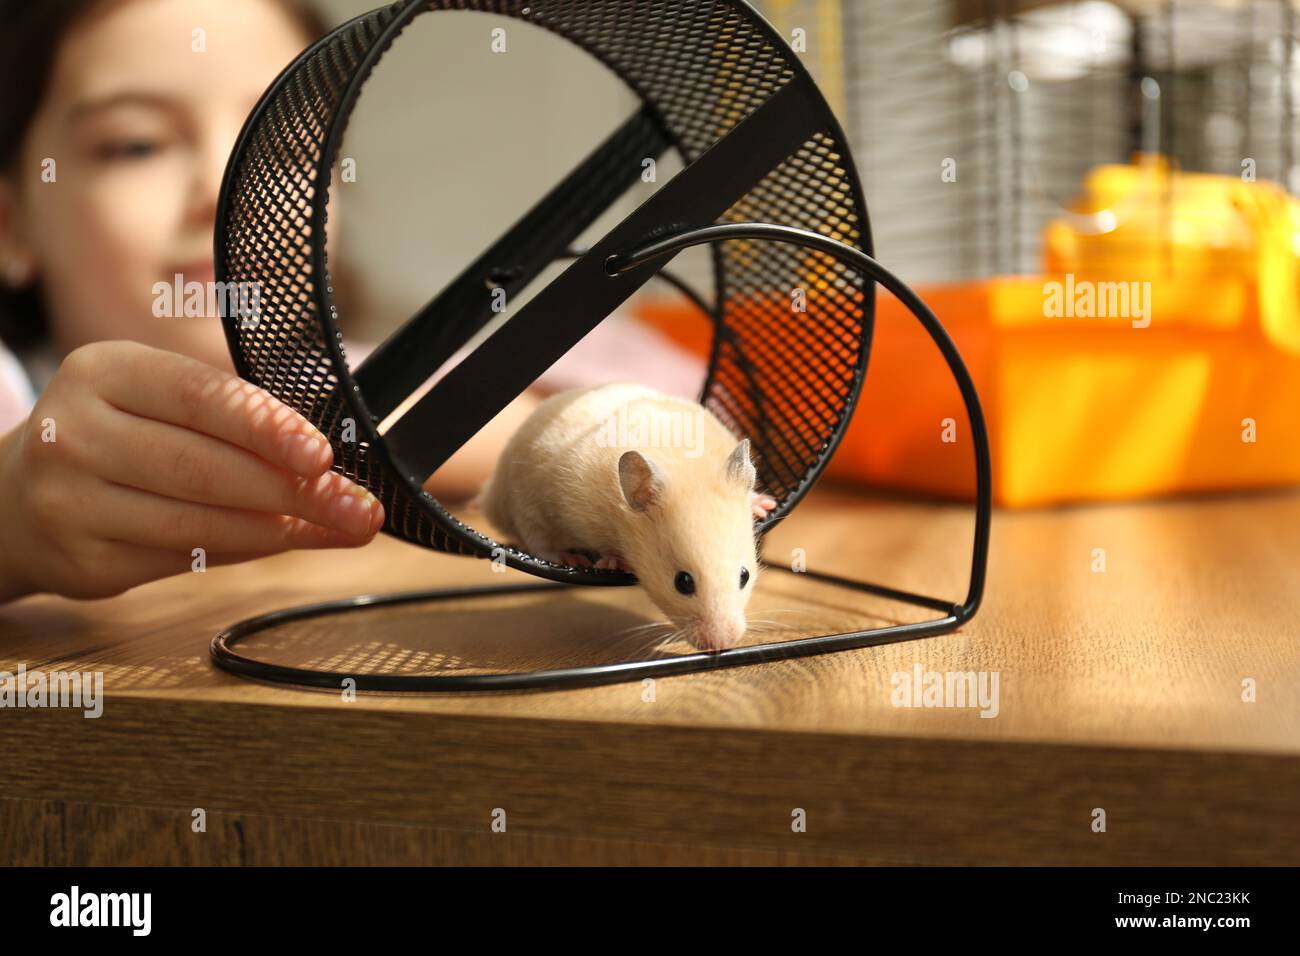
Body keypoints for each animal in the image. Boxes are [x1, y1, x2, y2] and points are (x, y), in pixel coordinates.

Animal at [480, 382, 774, 650]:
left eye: (745, 576)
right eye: (683, 582)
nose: (721, 645)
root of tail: (489, 496)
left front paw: (763, 504)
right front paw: (614, 562)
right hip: (525, 502)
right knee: (537, 540)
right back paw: (569, 557)